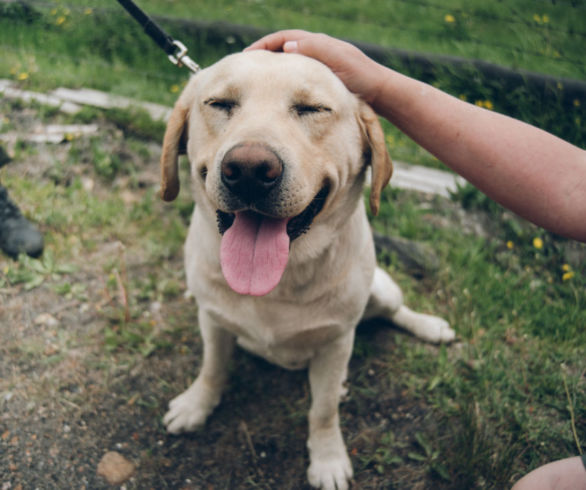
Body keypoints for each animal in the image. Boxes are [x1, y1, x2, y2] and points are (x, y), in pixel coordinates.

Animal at [157, 50, 454, 490]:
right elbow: (212, 369)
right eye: (220, 104)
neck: (279, 282)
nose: (248, 170)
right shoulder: (212, 320)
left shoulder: (336, 342)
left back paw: (430, 327)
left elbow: (323, 410)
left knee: (396, 312)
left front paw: (327, 458)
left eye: (312, 109)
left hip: (383, 291)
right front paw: (197, 404)